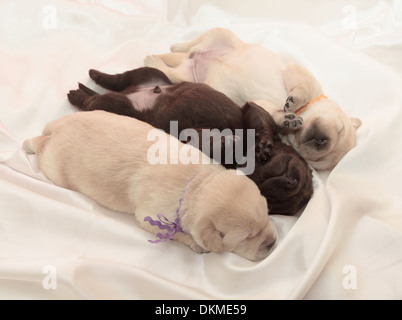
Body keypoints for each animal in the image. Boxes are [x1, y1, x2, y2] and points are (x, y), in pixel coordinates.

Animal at [22, 111, 276, 262]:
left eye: (266, 214)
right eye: (247, 237)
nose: (273, 242)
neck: (196, 184)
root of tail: (58, 125)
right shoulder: (149, 217)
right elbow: (177, 234)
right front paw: (195, 243)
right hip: (54, 167)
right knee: (40, 146)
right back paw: (29, 143)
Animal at [67, 67, 312, 215]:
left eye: (271, 200)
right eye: (304, 175)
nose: (291, 182)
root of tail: (134, 92)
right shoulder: (252, 112)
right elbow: (259, 124)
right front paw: (261, 145)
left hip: (121, 107)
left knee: (98, 99)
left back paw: (82, 91)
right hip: (149, 75)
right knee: (118, 79)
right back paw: (92, 78)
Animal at [144, 27, 362, 171]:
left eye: (316, 162)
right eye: (340, 129)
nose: (321, 141)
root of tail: (191, 57)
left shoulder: (262, 106)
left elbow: (273, 112)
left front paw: (287, 118)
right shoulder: (298, 72)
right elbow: (303, 88)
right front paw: (294, 101)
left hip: (185, 77)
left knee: (170, 68)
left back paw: (155, 58)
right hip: (222, 35)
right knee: (193, 43)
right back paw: (175, 47)